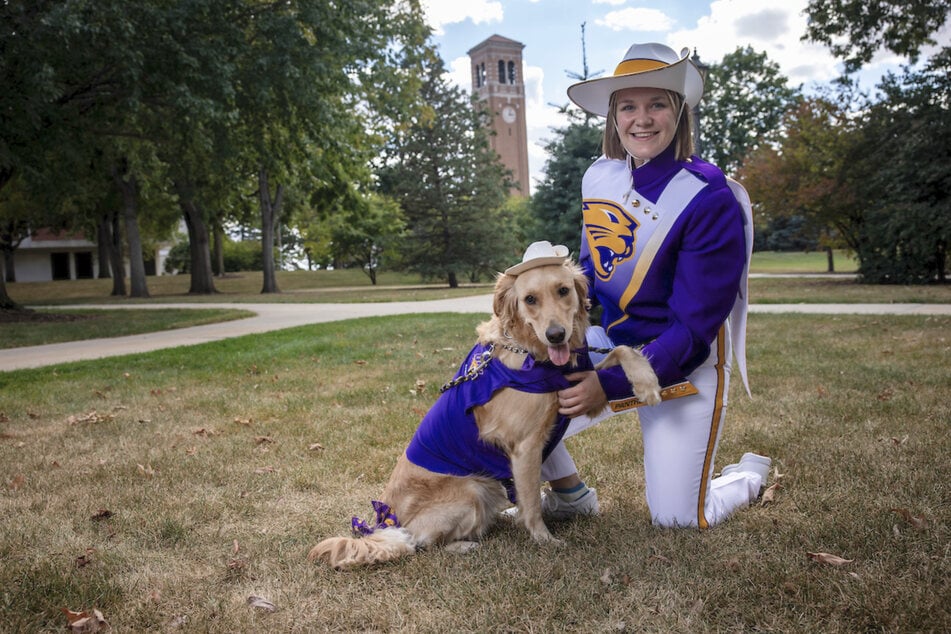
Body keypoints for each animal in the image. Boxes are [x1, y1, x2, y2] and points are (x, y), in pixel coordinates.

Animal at [308, 256, 660, 568]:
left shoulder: (578, 378)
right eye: (530, 299)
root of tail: (384, 523)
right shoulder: (525, 446)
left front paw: (647, 383)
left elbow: (622, 349)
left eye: (563, 290)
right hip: (473, 489)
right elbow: (531, 502)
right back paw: (464, 545)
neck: (532, 353)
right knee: (420, 544)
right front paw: (545, 540)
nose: (556, 335)